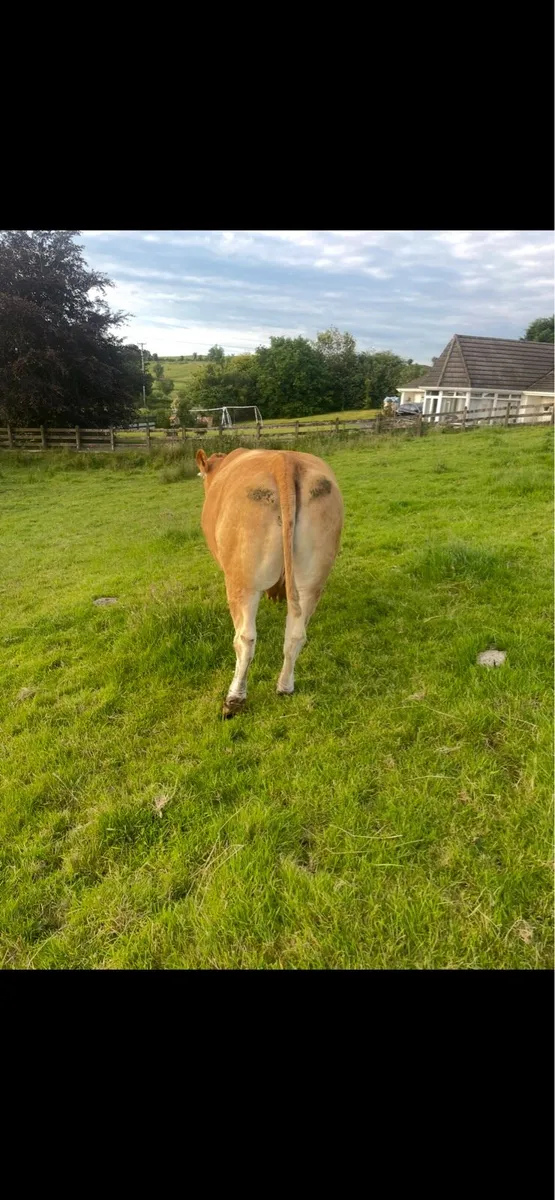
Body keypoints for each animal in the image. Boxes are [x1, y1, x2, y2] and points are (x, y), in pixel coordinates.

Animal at [195, 446, 344, 717]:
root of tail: (283, 461)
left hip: (243, 580)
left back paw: (234, 699)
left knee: (245, 639)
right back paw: (285, 687)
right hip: (312, 579)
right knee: (296, 635)